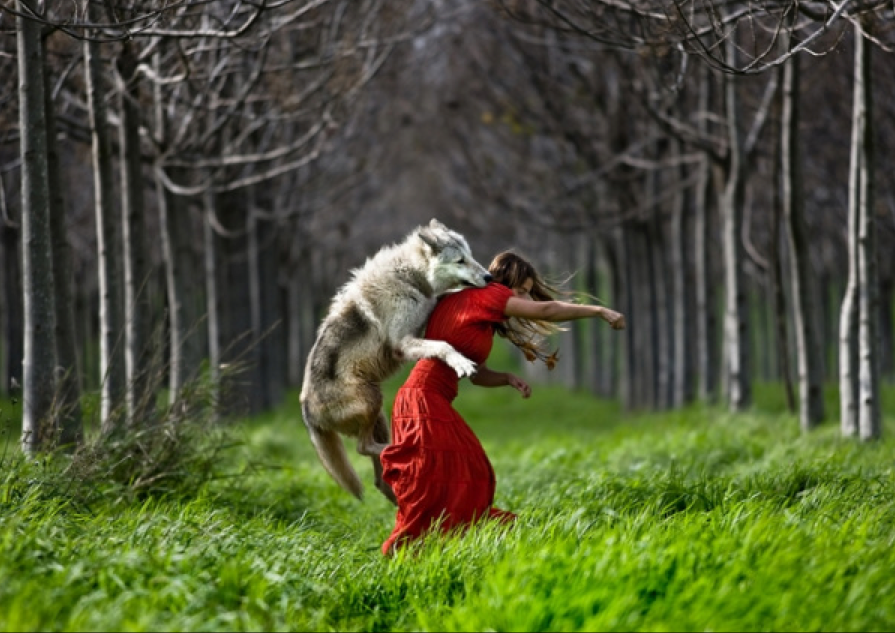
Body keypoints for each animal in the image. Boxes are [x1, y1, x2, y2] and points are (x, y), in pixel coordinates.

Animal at [300, 219, 492, 503]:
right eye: (460, 260)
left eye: (471, 256)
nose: (490, 277)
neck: (409, 277)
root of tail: (306, 411)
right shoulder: (403, 343)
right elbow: (444, 345)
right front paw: (461, 362)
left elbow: (441, 302)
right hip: (372, 399)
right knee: (363, 448)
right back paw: (399, 449)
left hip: (378, 414)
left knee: (378, 476)